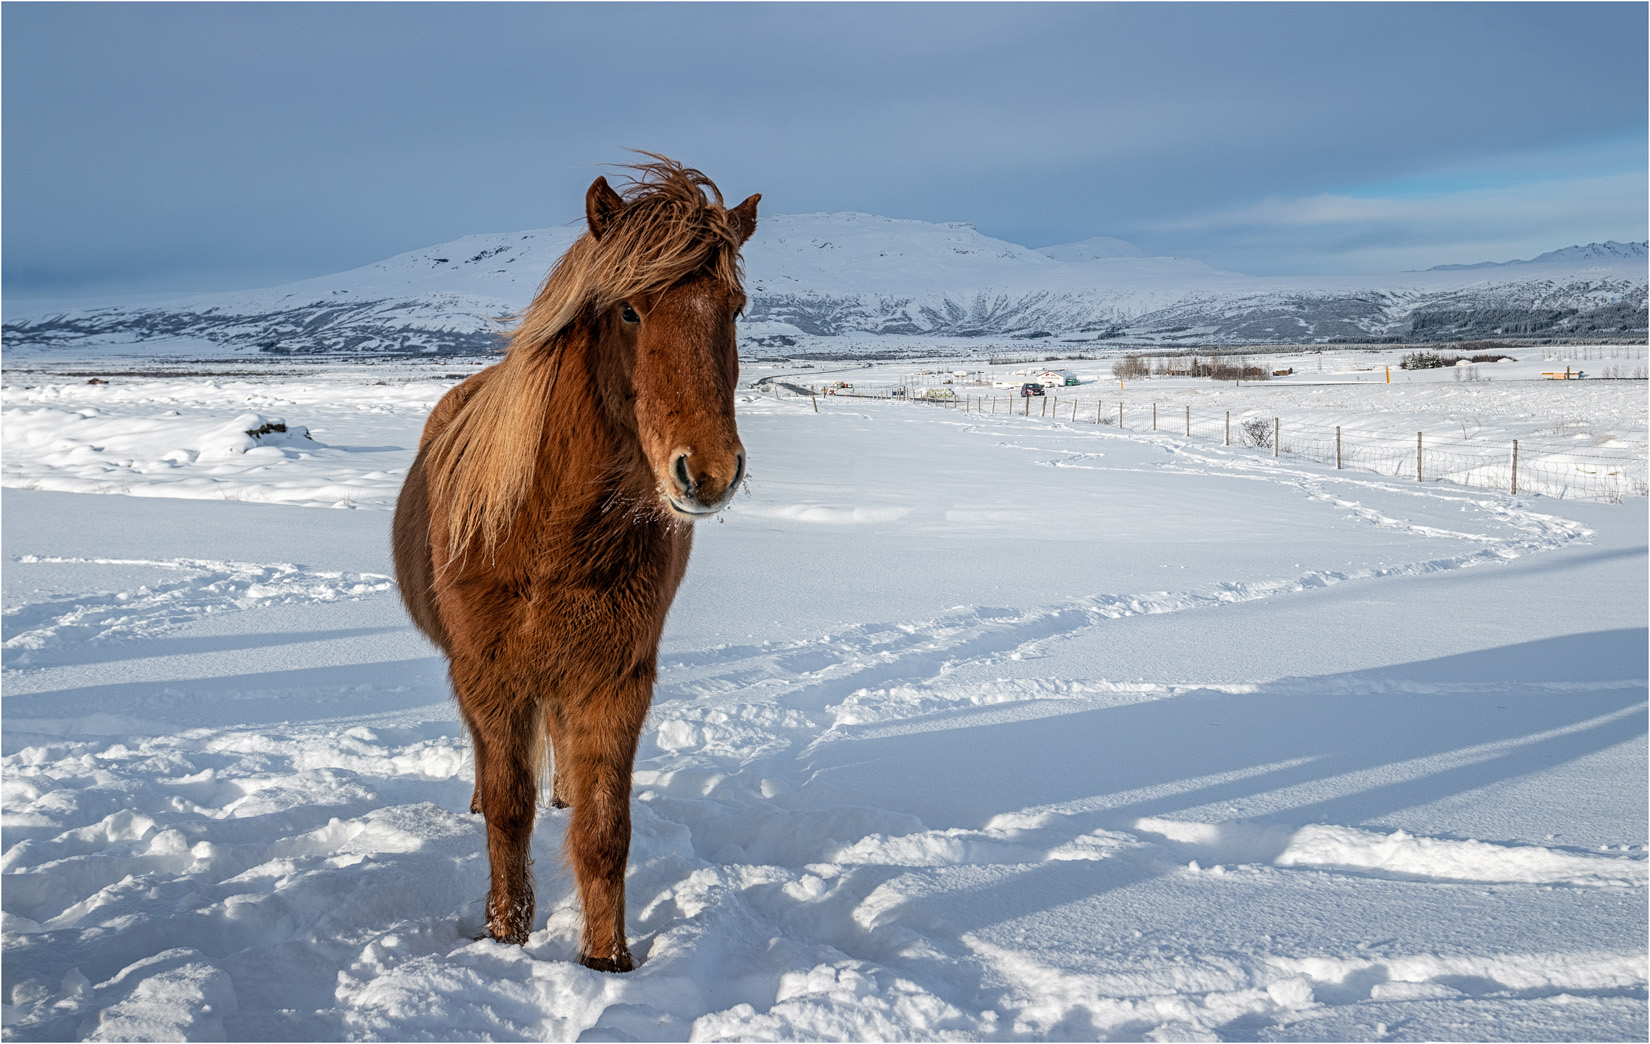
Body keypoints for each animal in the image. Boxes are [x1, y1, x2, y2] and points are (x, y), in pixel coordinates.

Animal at [391, 157, 759, 969]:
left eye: (736, 308)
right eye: (628, 311)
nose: (709, 472)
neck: (550, 534)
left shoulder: (617, 678)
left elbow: (604, 830)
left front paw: (606, 960)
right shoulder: (488, 675)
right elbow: (507, 811)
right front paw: (506, 933)